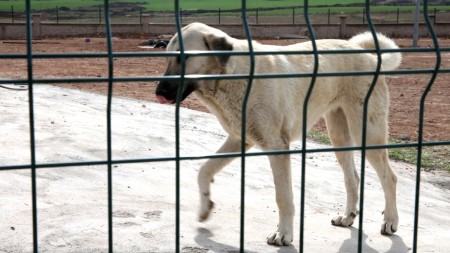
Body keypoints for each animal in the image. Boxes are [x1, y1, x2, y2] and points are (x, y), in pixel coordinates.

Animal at [156, 22, 400, 246]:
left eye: (184, 58)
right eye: (168, 57)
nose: (158, 92)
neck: (232, 76)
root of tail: (368, 55)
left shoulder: (277, 147)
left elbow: (283, 198)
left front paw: (283, 234)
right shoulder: (239, 140)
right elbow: (204, 170)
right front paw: (205, 207)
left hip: (366, 132)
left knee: (389, 177)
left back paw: (390, 221)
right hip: (340, 136)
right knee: (352, 178)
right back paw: (348, 217)